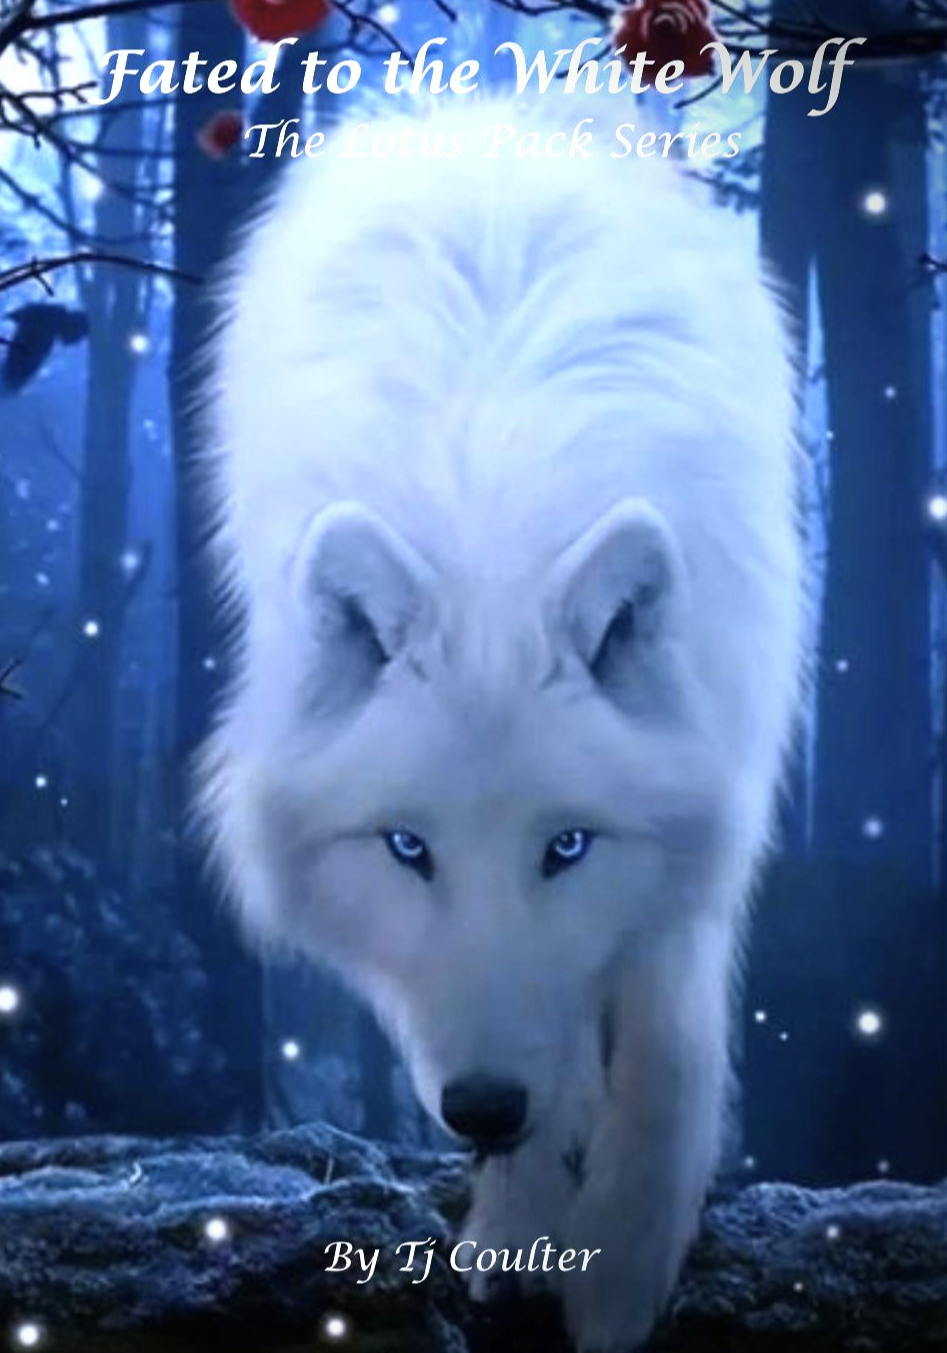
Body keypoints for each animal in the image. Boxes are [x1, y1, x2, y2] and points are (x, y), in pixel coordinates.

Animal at [196, 95, 806, 1352]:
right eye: (406, 848)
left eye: (565, 846)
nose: (480, 1110)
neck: (493, 533)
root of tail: (485, 107)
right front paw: (524, 1224)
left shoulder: (707, 798)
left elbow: (663, 1046)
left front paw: (619, 1267)